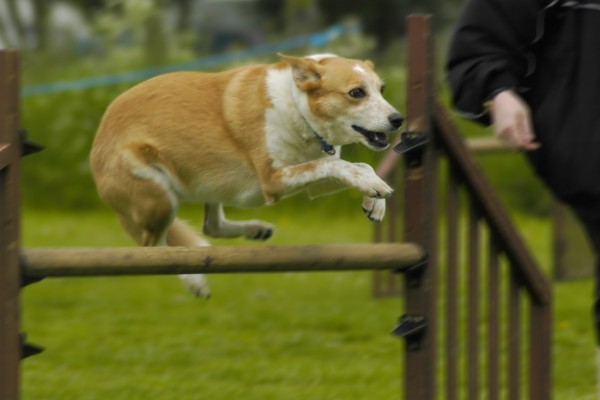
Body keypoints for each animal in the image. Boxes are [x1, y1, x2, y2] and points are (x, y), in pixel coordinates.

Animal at [90, 53, 404, 296]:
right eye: (356, 93)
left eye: (382, 89)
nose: (398, 119)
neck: (298, 108)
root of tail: (95, 148)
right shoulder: (273, 180)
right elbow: (337, 166)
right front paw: (372, 188)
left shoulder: (312, 181)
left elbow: (358, 167)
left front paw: (375, 200)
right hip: (159, 197)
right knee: (153, 248)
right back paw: (194, 280)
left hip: (209, 183)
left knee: (210, 226)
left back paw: (255, 229)